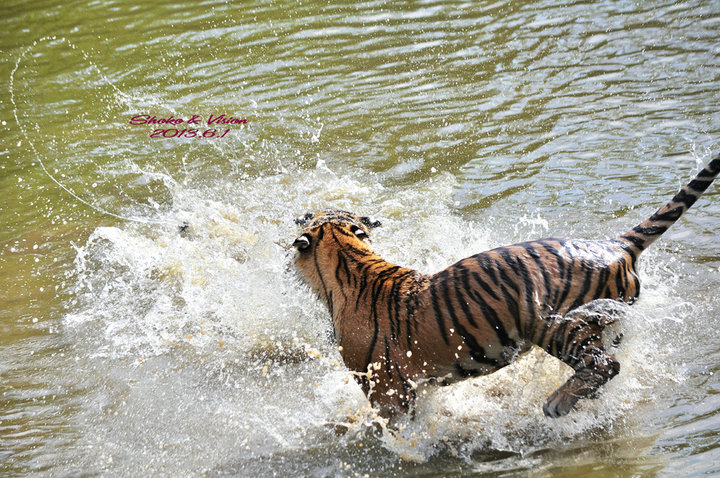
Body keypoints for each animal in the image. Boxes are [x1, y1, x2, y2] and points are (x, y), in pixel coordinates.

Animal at [292, 154, 720, 418]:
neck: (350, 257)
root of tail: (616, 244)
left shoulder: (384, 388)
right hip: (611, 325)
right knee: (610, 365)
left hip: (553, 322)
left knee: (604, 365)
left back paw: (556, 404)